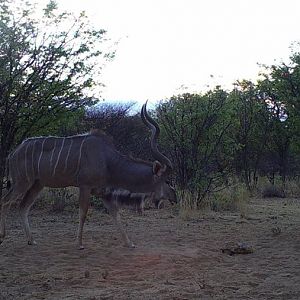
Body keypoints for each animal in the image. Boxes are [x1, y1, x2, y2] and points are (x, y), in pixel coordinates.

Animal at [0, 103, 172, 248]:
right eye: (167, 180)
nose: (174, 197)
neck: (107, 160)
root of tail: (12, 154)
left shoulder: (102, 192)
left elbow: (115, 214)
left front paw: (129, 243)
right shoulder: (85, 186)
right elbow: (83, 213)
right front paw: (79, 243)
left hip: (37, 184)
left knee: (23, 207)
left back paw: (31, 240)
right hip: (22, 182)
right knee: (5, 201)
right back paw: (3, 237)